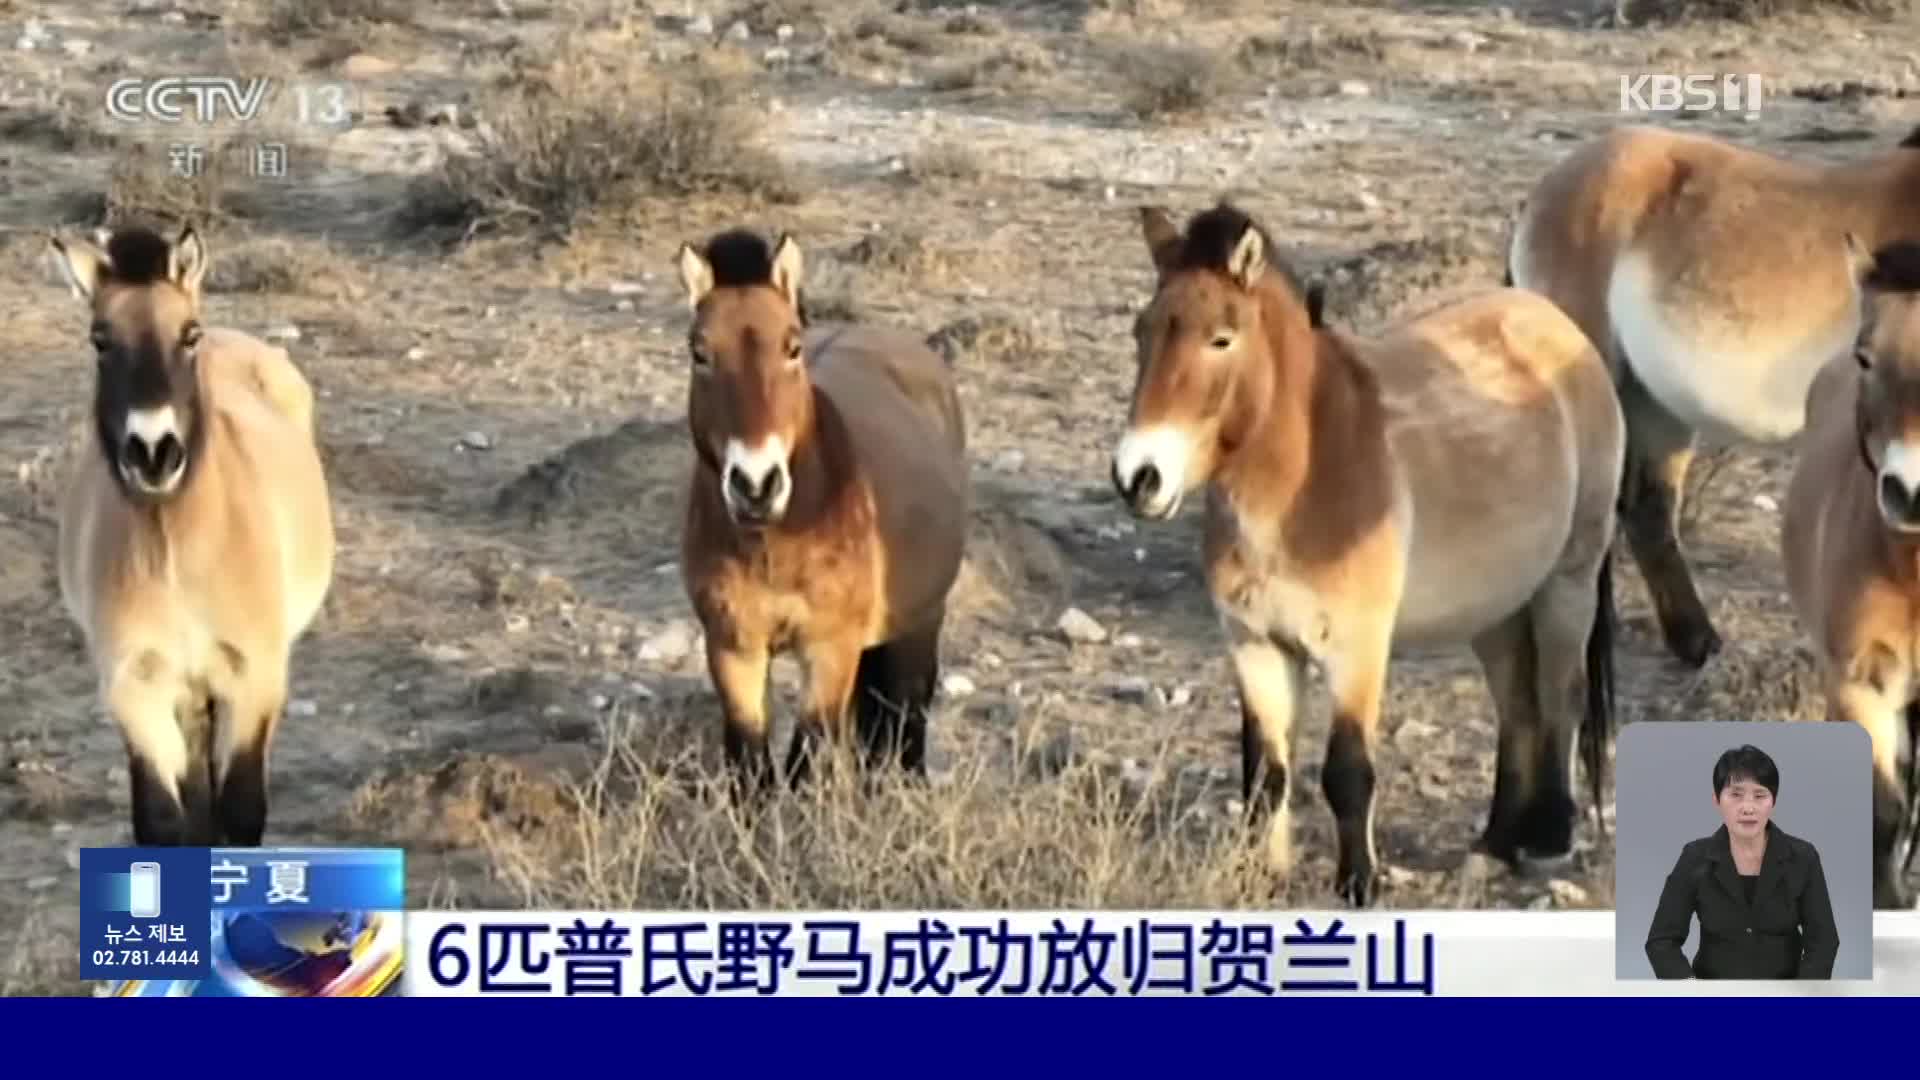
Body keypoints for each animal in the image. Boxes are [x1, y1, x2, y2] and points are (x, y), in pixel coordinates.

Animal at [46, 222, 336, 845]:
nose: (154, 452)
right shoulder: (138, 689)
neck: (175, 552)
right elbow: (165, 821)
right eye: (100, 339)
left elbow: (240, 814)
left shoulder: (253, 682)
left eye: (189, 334)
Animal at [679, 228, 975, 799]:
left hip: (921, 622)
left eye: (792, 346)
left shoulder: (829, 649)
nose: (756, 485)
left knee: (909, 716)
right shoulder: (733, 649)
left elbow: (806, 758)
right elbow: (751, 765)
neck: (777, 539)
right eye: (699, 352)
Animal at [1113, 199, 1620, 899]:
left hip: (1568, 581)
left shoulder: (1357, 649)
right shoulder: (1255, 645)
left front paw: (1359, 882)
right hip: (1495, 609)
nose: (1139, 477)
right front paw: (1261, 875)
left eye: (1221, 339)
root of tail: (1559, 326)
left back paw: (1549, 840)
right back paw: (1496, 841)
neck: (1301, 482)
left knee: (1562, 696)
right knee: (1518, 705)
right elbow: (1267, 772)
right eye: (1142, 332)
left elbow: (1347, 771)